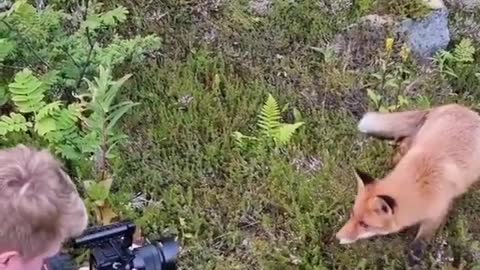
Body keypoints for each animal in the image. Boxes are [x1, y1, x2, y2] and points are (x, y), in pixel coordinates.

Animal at [336, 104, 480, 264]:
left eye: (365, 225)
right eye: (352, 214)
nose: (337, 236)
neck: (420, 185)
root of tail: (461, 107)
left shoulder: (439, 210)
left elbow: (424, 237)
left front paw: (415, 255)